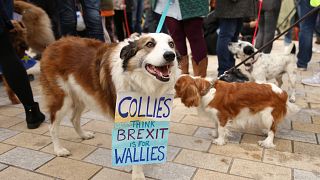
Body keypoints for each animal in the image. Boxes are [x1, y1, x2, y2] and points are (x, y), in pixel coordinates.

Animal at [39, 33, 179, 179]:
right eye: (150, 44)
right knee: (52, 127)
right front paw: (137, 174)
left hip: (82, 95)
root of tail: (53, 44)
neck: (138, 81)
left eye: (171, 44)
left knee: (74, 119)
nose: (170, 55)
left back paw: (83, 135)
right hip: (62, 99)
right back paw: (59, 149)